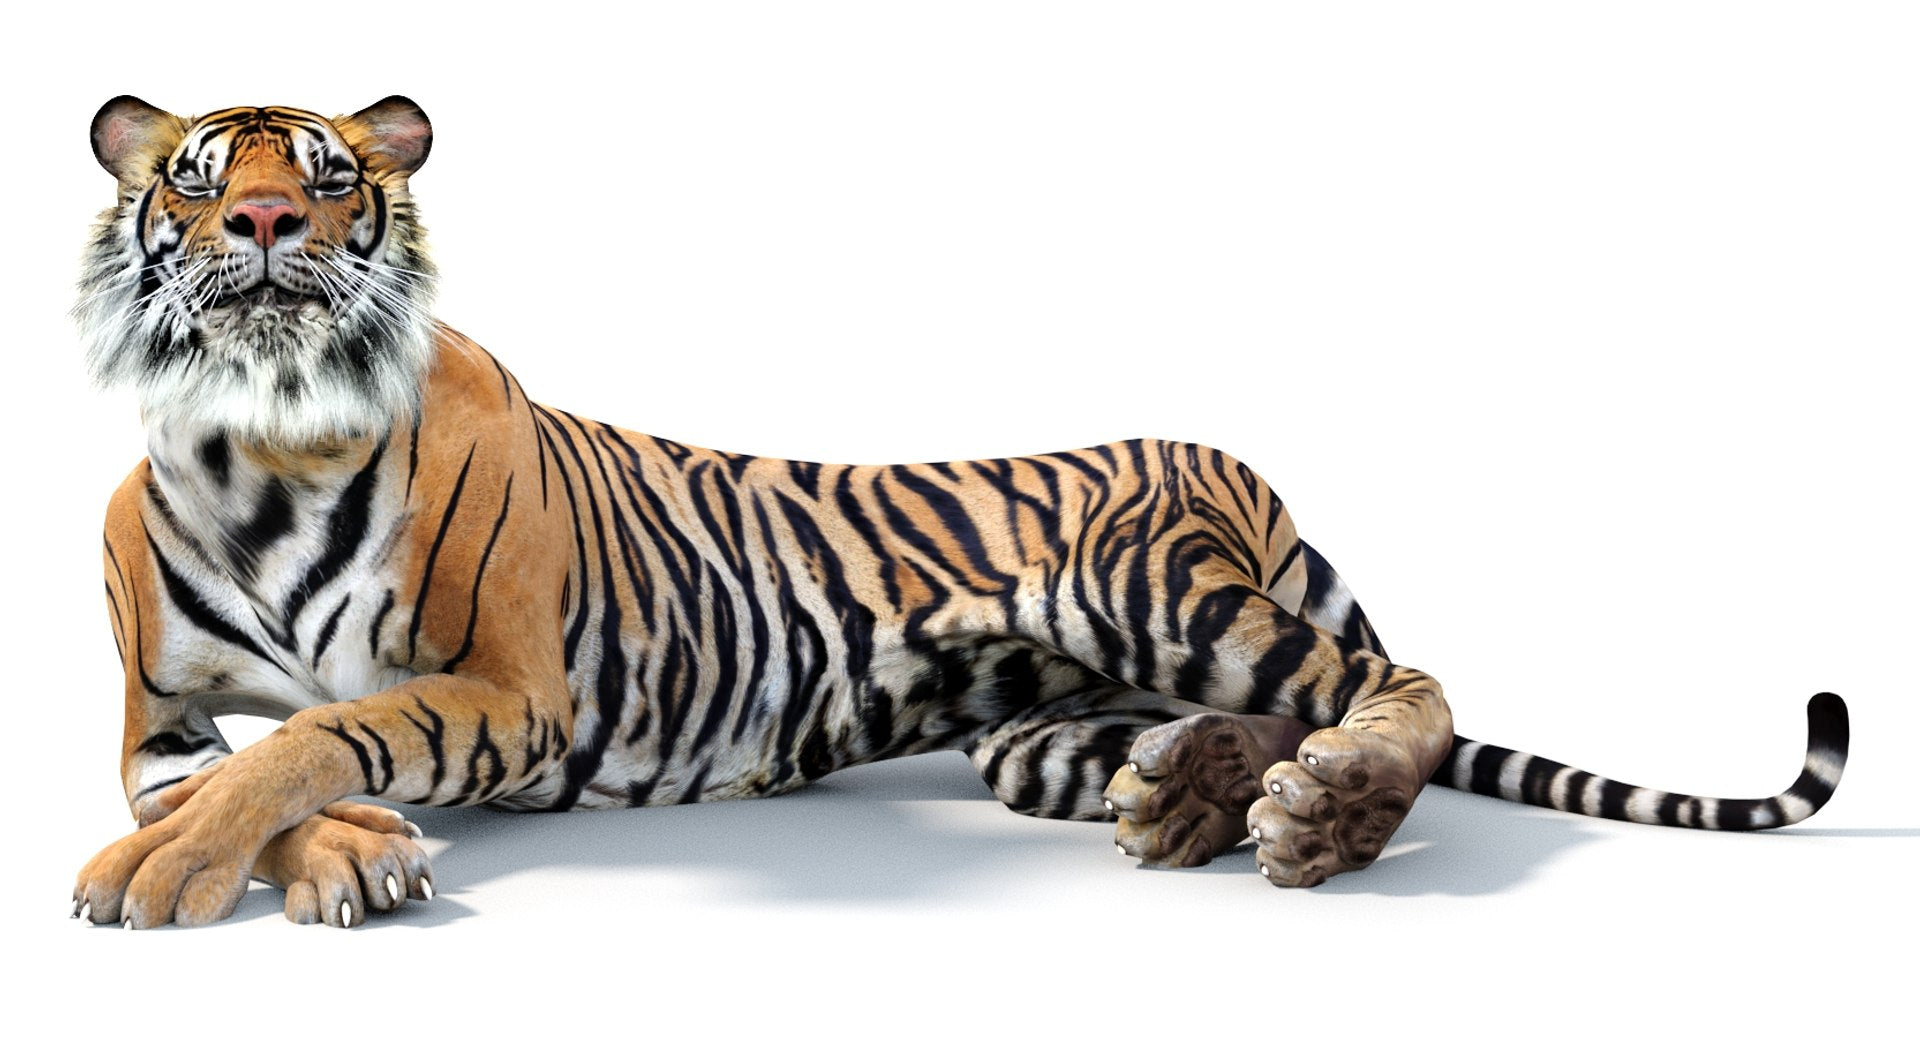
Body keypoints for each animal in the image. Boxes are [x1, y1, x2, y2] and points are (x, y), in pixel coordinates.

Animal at [69, 96, 1850, 928]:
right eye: (197, 180)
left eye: (330, 176)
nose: (269, 225)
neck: (264, 450)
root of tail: (1231, 461)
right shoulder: (161, 716)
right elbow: (249, 768)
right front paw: (325, 861)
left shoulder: (514, 686)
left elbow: (325, 734)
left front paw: (169, 876)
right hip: (1041, 717)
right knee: (1260, 720)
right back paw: (1193, 798)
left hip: (1162, 588)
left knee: (1400, 689)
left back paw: (1322, 818)